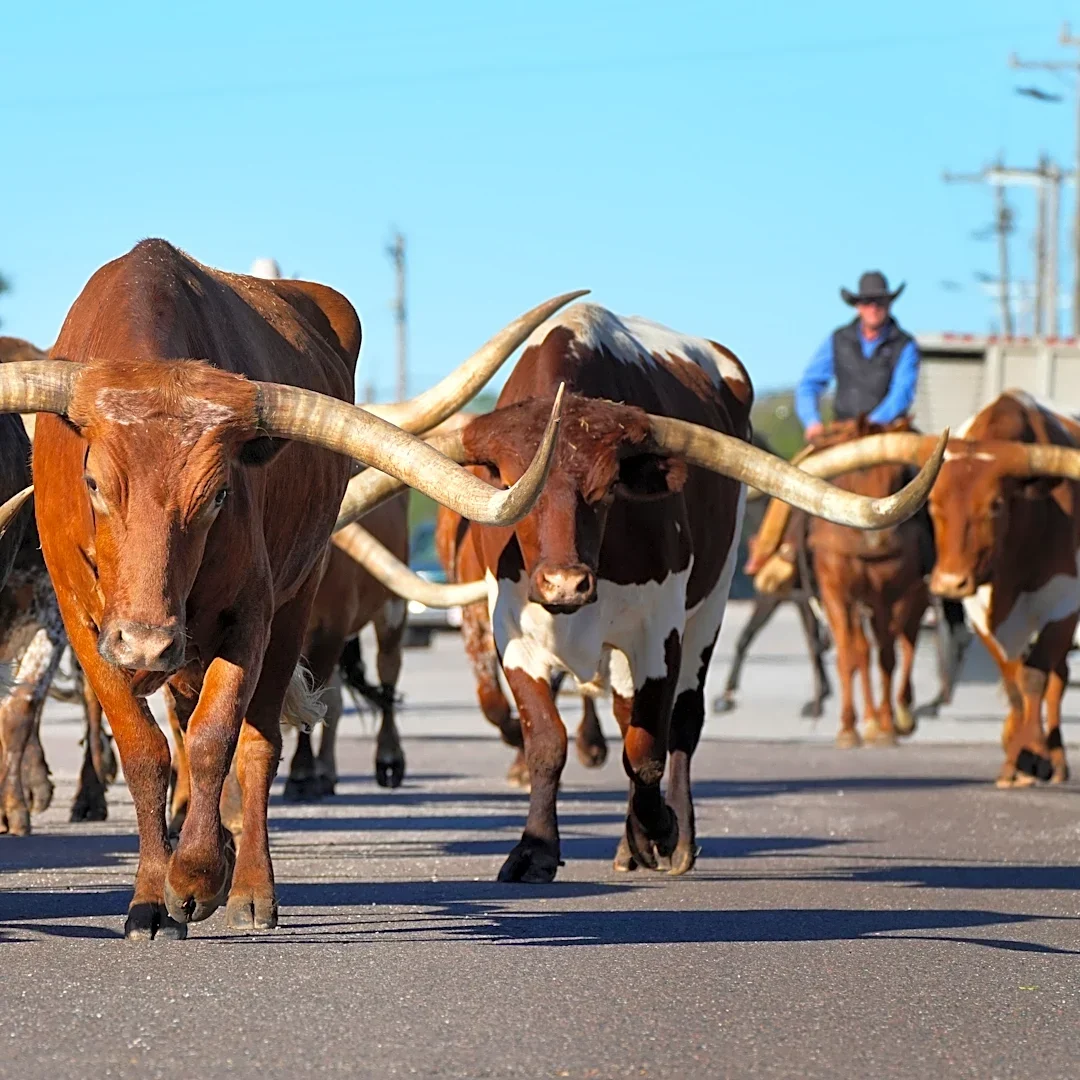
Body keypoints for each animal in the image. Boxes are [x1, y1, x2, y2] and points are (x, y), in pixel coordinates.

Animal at [0, 240, 567, 938]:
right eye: (94, 484)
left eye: (217, 495)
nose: (146, 644)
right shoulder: (82, 625)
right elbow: (146, 749)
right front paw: (151, 900)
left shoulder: (251, 615)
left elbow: (218, 738)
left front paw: (195, 877)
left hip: (298, 598)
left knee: (257, 743)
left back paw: (247, 886)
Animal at [329, 303, 944, 882]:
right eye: (508, 483)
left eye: (606, 491)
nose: (564, 582)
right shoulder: (513, 634)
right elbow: (547, 741)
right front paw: (535, 850)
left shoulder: (657, 633)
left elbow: (646, 749)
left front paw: (659, 832)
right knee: (627, 716)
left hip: (710, 606)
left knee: (683, 723)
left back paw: (670, 839)